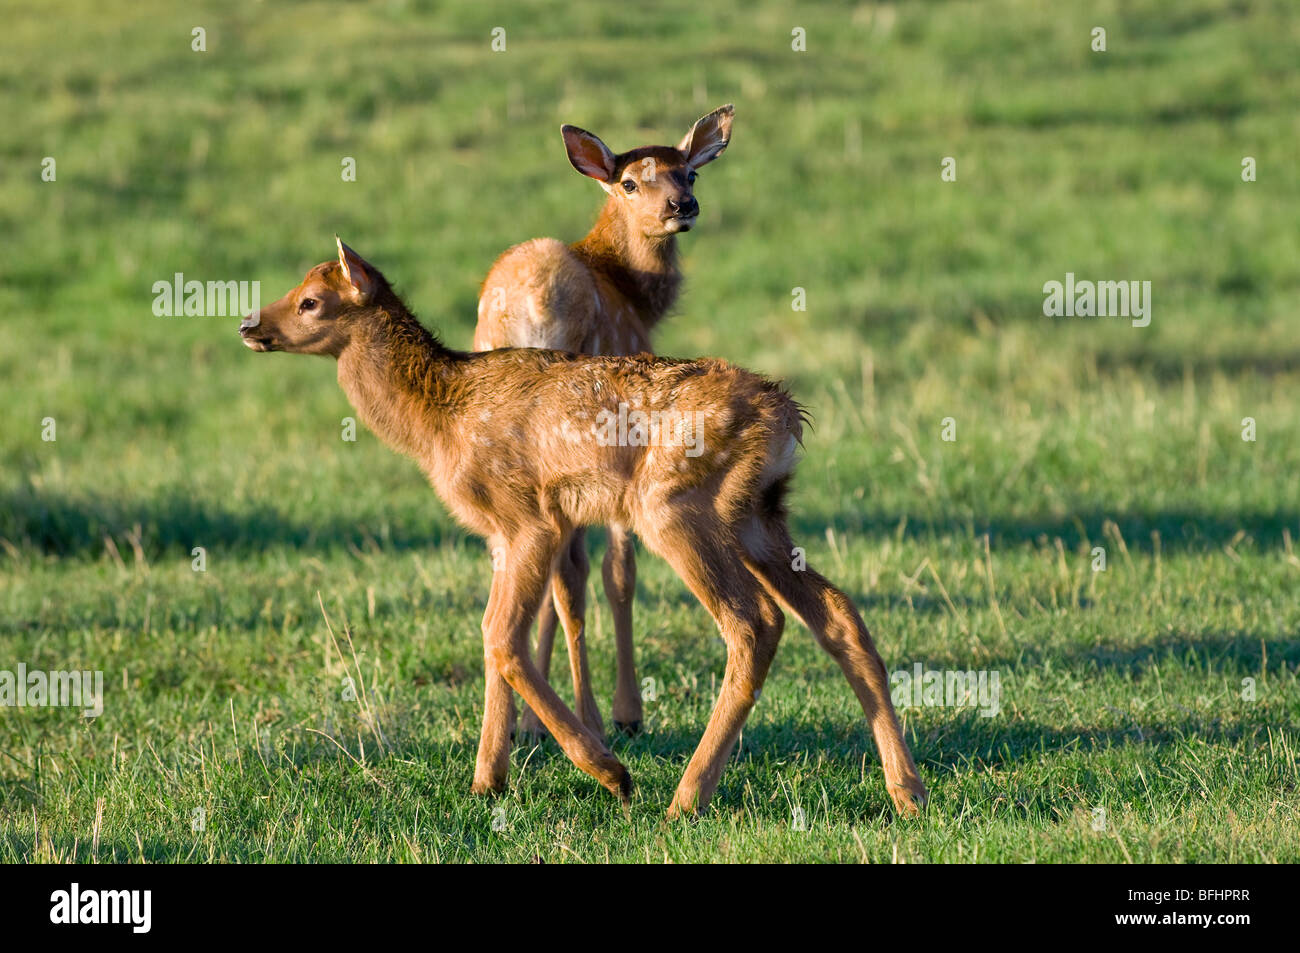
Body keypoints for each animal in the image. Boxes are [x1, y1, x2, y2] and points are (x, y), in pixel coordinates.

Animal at [236, 241, 925, 816]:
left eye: (311, 300)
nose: (249, 325)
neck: (439, 421)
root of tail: (787, 417)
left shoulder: (530, 518)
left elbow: (502, 637)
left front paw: (606, 770)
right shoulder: (499, 535)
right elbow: (491, 635)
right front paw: (487, 780)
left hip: (671, 506)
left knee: (754, 621)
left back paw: (685, 798)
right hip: (759, 515)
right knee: (837, 614)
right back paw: (907, 791)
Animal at [478, 107, 738, 738]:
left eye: (689, 173)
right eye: (628, 183)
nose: (682, 206)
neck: (635, 295)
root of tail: (530, 306)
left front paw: (532, 722)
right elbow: (620, 571)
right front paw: (628, 711)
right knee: (572, 569)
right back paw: (594, 719)